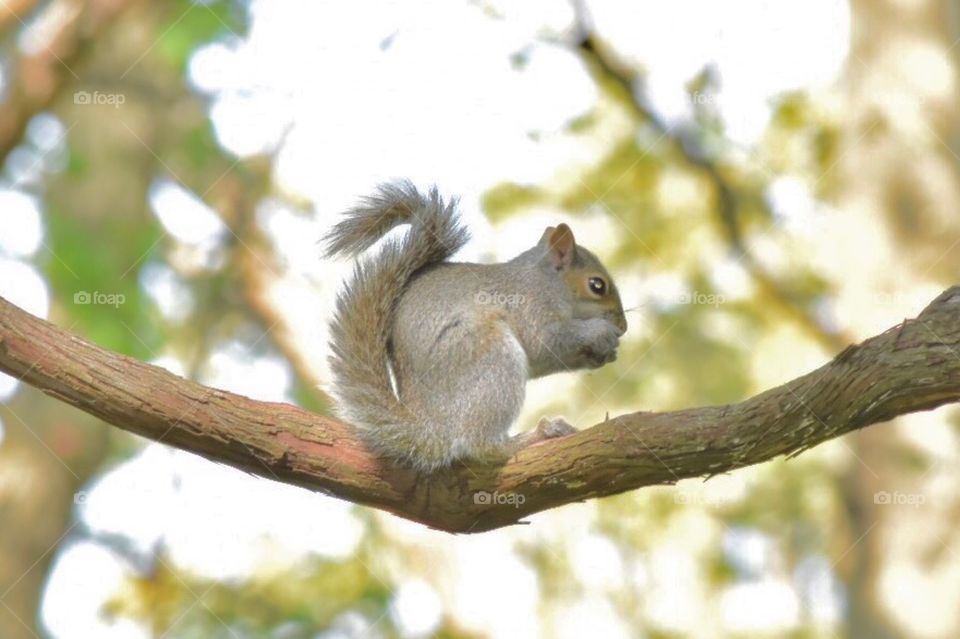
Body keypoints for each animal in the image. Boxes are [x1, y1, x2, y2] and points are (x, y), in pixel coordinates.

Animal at [323, 181, 627, 472]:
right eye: (597, 285)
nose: (623, 326)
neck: (546, 283)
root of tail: (431, 430)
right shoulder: (530, 308)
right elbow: (545, 343)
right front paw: (601, 333)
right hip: (490, 353)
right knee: (480, 447)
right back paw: (534, 436)